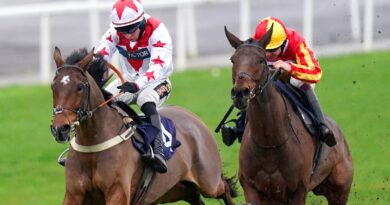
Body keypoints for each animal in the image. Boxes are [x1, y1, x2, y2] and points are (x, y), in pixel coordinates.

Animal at [50, 47, 236, 204]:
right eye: (53, 86)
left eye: (79, 87)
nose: (60, 128)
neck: (93, 145)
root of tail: (195, 119)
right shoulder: (73, 194)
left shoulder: (117, 193)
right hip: (175, 189)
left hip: (209, 181)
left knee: (225, 187)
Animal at [224, 27, 354, 205]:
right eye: (233, 60)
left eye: (261, 60)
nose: (240, 93)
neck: (269, 142)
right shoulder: (252, 190)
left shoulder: (297, 191)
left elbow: (313, 70)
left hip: (339, 190)